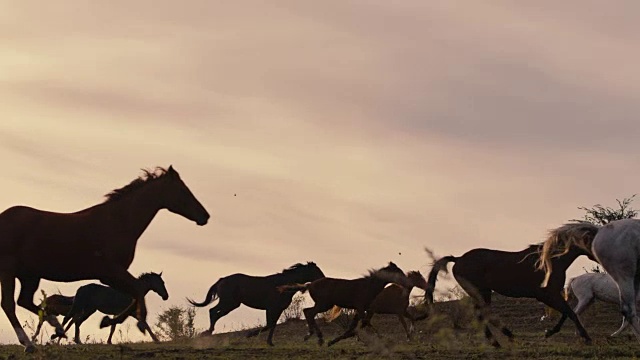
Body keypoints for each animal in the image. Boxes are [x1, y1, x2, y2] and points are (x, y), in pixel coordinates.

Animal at [0, 166, 209, 352]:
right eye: (183, 190)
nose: (204, 216)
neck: (117, 222)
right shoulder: (111, 272)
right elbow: (137, 292)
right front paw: (117, 322)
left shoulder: (114, 276)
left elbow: (134, 295)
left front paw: (109, 321)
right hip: (9, 269)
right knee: (9, 305)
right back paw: (29, 343)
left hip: (29, 275)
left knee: (25, 302)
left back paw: (55, 329)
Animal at [185, 262, 324, 346]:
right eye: (316, 271)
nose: (324, 279)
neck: (282, 285)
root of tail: (222, 280)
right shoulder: (271, 308)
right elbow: (269, 325)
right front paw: (250, 335)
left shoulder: (278, 309)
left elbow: (272, 325)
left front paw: (270, 342)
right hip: (228, 302)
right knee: (213, 312)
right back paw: (207, 332)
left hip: (231, 304)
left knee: (215, 313)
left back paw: (208, 332)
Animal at [278, 262, 410, 348]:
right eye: (398, 272)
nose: (407, 282)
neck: (368, 286)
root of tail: (310, 284)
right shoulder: (360, 307)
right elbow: (364, 324)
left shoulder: (362, 309)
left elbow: (356, 326)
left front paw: (334, 341)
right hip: (324, 304)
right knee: (309, 312)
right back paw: (317, 338)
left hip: (324, 304)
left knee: (307, 311)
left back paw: (315, 337)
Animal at [428, 243, 592, 348]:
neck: (552, 260)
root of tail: (458, 259)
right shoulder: (546, 295)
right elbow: (570, 312)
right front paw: (586, 337)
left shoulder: (553, 295)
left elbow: (567, 312)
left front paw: (550, 332)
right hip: (481, 292)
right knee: (483, 314)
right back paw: (502, 340)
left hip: (483, 293)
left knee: (483, 314)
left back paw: (502, 340)